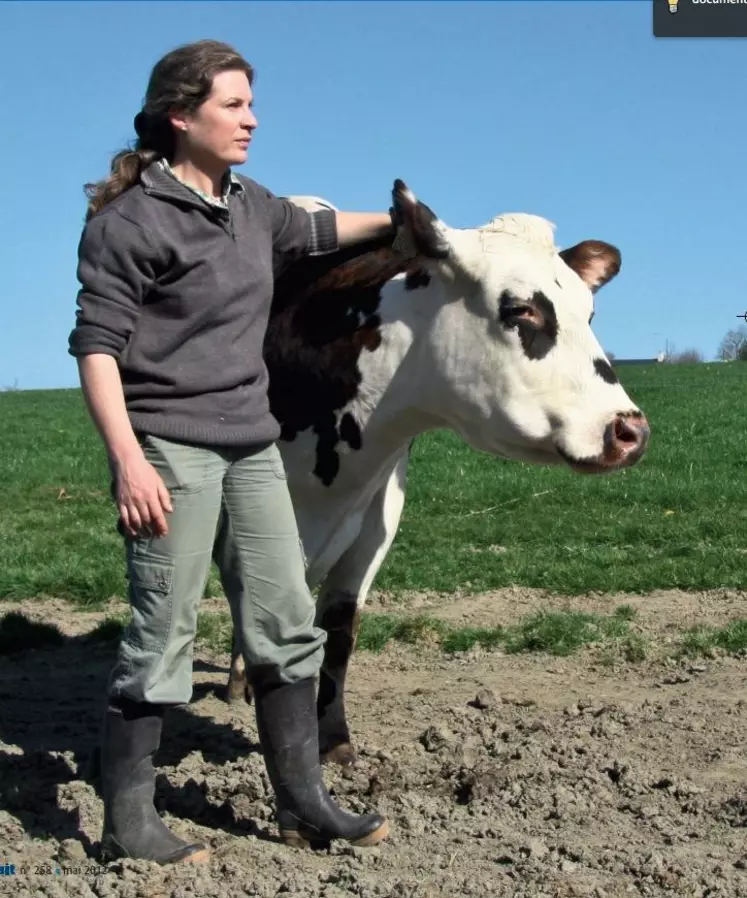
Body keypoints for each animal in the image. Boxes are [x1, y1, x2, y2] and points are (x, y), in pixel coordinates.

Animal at [218, 180, 648, 764]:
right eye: (521, 309)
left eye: (590, 314)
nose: (631, 431)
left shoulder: (377, 517)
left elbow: (338, 626)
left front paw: (332, 738)